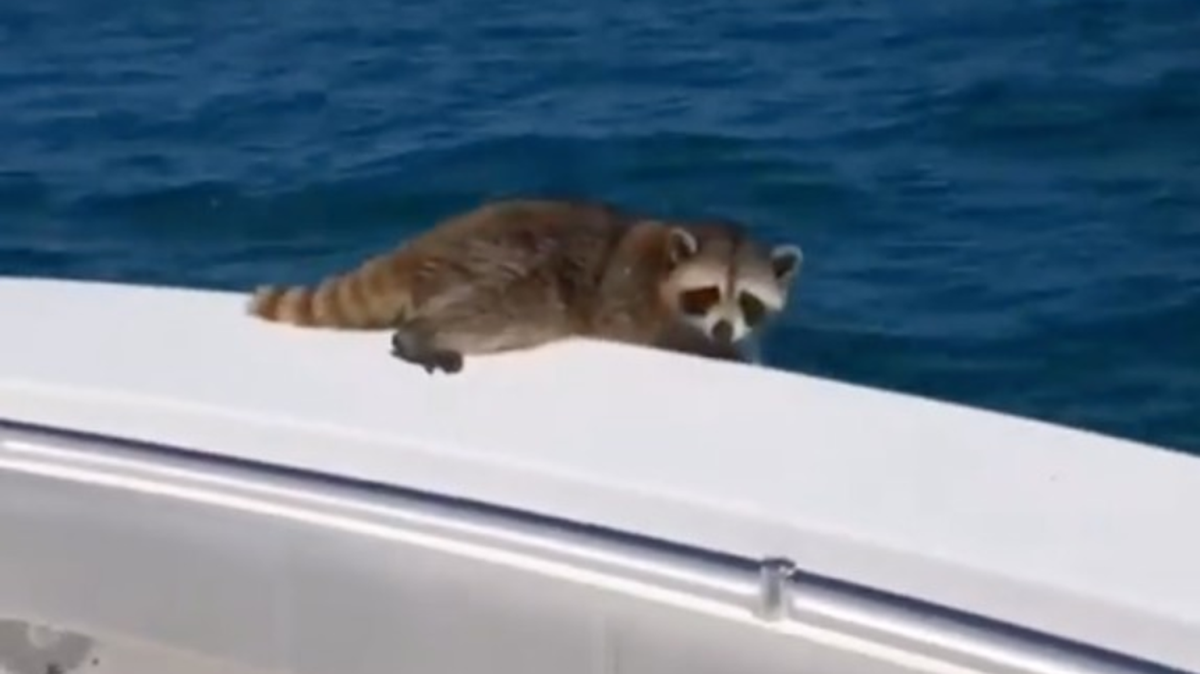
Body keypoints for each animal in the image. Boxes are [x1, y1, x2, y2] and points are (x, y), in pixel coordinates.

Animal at [247, 198, 802, 374]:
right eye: (707, 294)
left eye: (747, 301)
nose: (725, 331)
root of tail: (425, 244)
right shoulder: (628, 300)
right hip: (508, 270)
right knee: (508, 311)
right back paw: (420, 335)